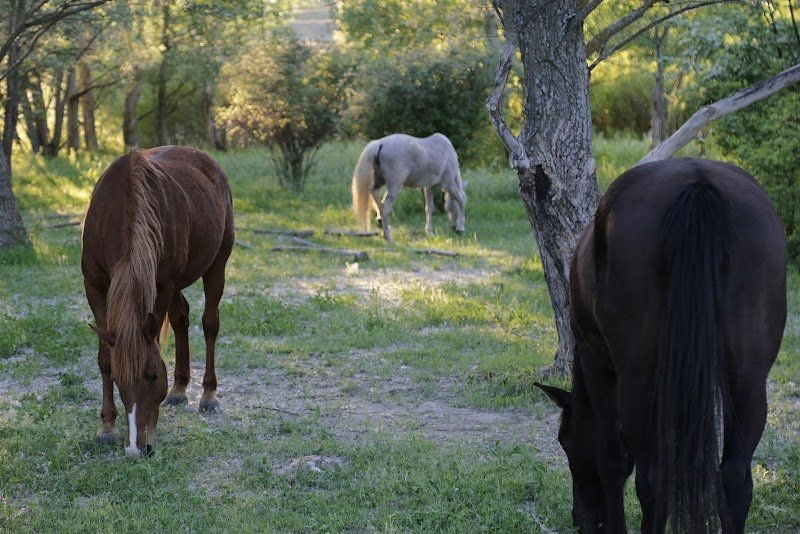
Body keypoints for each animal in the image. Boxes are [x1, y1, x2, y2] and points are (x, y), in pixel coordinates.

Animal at [81, 145, 234, 459]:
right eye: (118, 379)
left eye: (152, 376)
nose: (137, 448)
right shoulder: (94, 285)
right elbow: (104, 357)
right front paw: (106, 427)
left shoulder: (162, 286)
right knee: (181, 319)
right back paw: (179, 388)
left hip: (217, 264)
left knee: (209, 323)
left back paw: (208, 393)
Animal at [535, 159, 787, 533]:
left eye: (565, 440)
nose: (581, 519)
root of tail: (698, 183)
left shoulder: (598, 365)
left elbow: (611, 458)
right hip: (748, 380)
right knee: (734, 478)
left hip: (638, 381)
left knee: (652, 481)